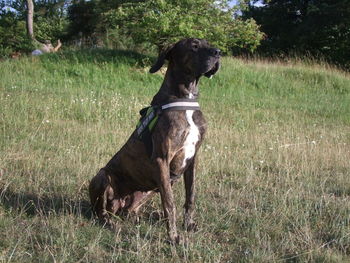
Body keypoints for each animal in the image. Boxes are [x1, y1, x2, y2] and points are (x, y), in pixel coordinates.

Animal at [89, 38, 220, 244]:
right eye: (194, 45)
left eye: (208, 42)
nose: (218, 52)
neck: (185, 97)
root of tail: (118, 206)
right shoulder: (161, 160)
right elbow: (170, 203)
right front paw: (173, 236)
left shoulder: (193, 159)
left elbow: (190, 195)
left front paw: (188, 224)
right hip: (102, 176)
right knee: (100, 211)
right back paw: (109, 223)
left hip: (149, 189)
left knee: (129, 211)